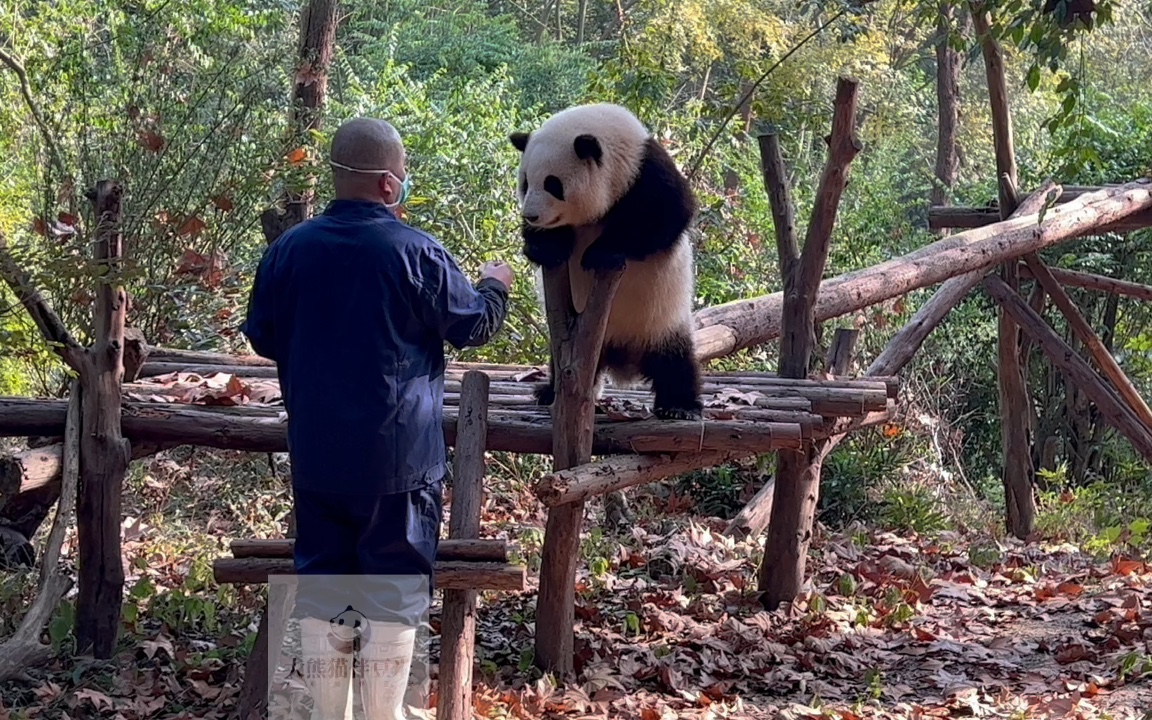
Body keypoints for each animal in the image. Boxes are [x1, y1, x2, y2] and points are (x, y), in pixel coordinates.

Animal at [511, 100, 700, 414]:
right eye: (525, 183)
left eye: (553, 184)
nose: (531, 215)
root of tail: (622, 358)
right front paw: (547, 247)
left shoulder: (646, 174)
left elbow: (667, 216)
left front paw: (601, 253)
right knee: (560, 362)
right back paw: (548, 392)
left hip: (661, 320)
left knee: (675, 362)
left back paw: (680, 405)